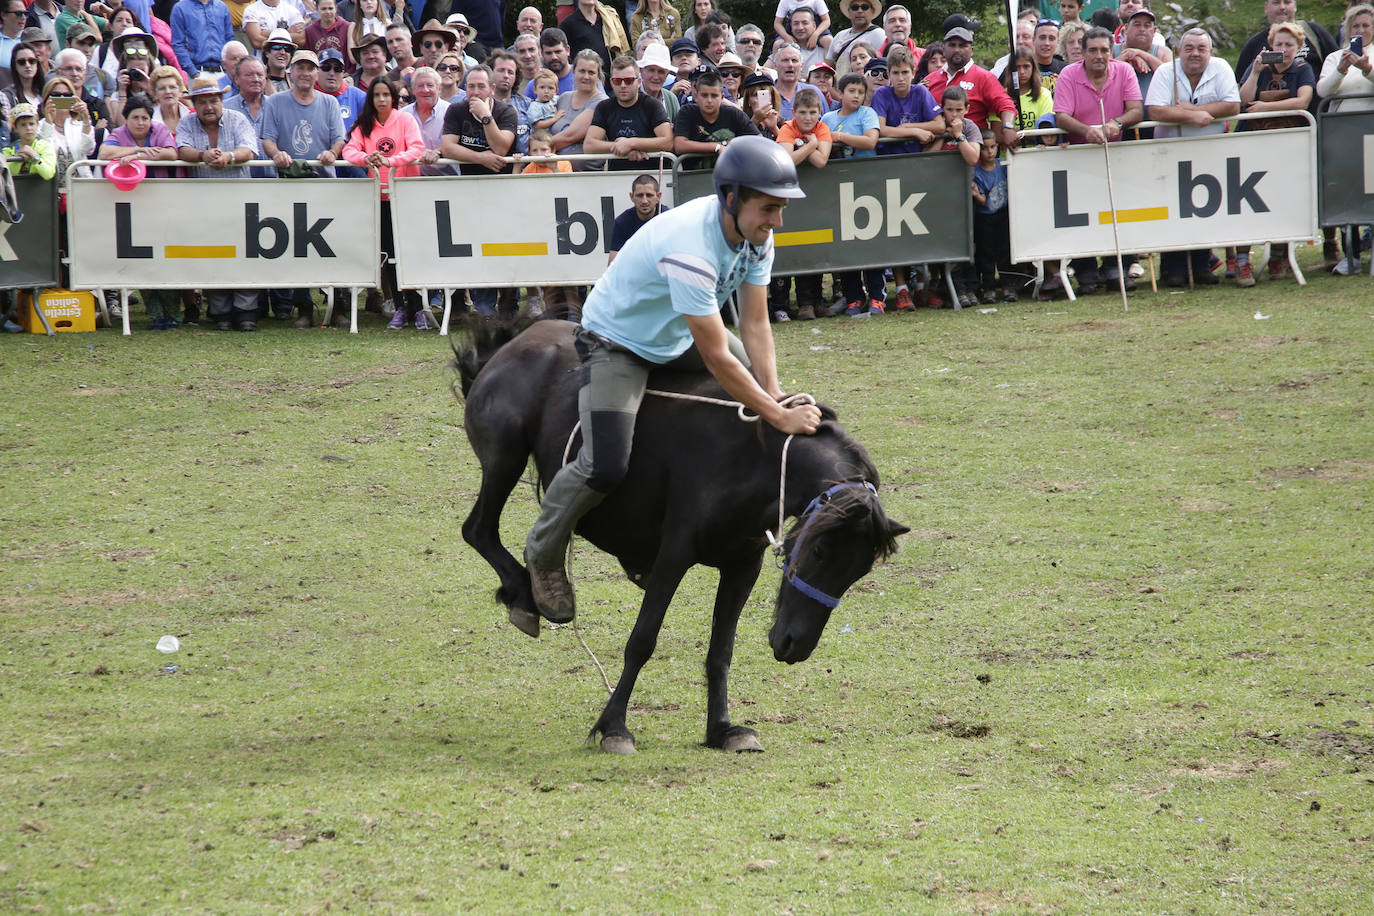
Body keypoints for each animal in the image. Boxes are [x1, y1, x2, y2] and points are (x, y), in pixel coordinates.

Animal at [458, 318, 912, 758]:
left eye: (857, 572)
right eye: (818, 551)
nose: (794, 645)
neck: (753, 459)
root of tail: (513, 345)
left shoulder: (743, 566)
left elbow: (721, 650)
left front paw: (722, 729)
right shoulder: (673, 556)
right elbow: (642, 640)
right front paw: (614, 728)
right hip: (505, 456)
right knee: (478, 529)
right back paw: (531, 592)